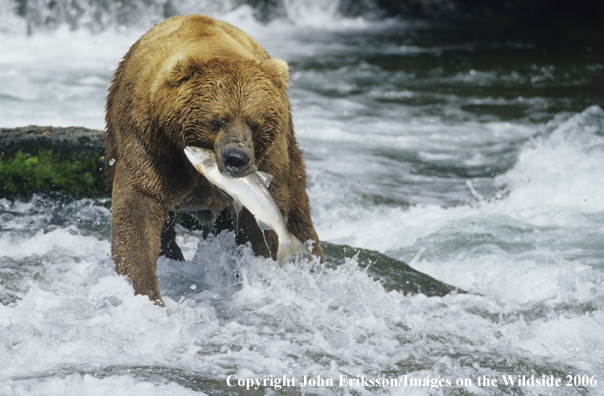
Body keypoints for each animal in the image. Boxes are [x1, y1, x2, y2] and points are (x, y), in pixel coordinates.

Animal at [106, 13, 324, 304]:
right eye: (216, 120)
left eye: (255, 123)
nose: (236, 158)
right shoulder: (149, 137)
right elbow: (138, 206)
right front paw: (146, 292)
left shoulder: (267, 154)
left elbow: (261, 219)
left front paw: (260, 270)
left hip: (289, 146)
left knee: (299, 209)